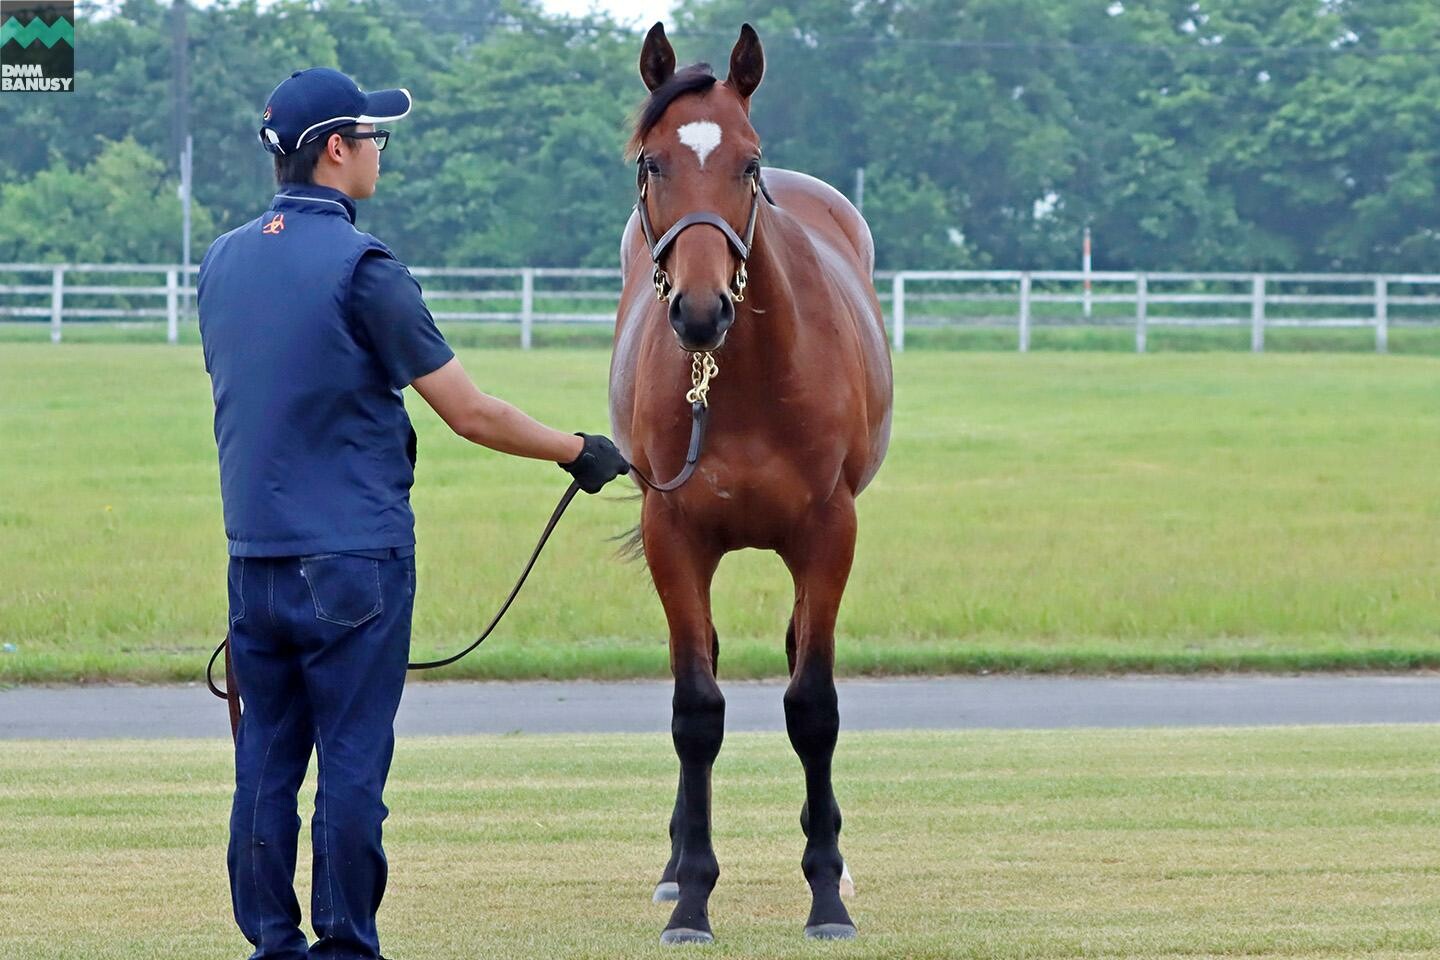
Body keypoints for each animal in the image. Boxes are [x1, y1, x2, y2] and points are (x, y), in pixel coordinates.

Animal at [604, 22, 887, 944]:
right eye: (653, 162)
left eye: (748, 162)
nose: (700, 311)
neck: (752, 381)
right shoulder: (676, 537)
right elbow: (696, 710)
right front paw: (693, 894)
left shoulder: (830, 534)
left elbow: (813, 705)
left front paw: (826, 893)